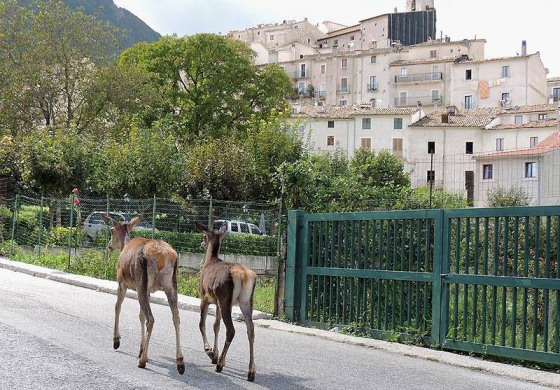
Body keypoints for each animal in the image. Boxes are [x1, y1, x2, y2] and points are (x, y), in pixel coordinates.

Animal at [103, 215, 186, 376]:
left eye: (111, 230)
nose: (109, 245)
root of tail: (162, 256)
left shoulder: (122, 282)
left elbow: (117, 307)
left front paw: (116, 341)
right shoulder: (147, 291)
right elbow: (140, 315)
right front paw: (140, 349)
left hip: (142, 282)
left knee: (151, 319)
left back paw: (143, 360)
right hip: (171, 285)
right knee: (176, 317)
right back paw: (180, 362)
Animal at [195, 221, 258, 382]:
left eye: (204, 236)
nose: (201, 244)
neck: (209, 260)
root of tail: (243, 275)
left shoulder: (204, 297)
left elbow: (202, 324)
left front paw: (210, 352)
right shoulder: (217, 302)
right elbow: (216, 325)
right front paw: (215, 355)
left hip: (225, 299)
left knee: (231, 330)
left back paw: (220, 365)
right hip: (246, 301)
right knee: (251, 329)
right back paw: (251, 371)